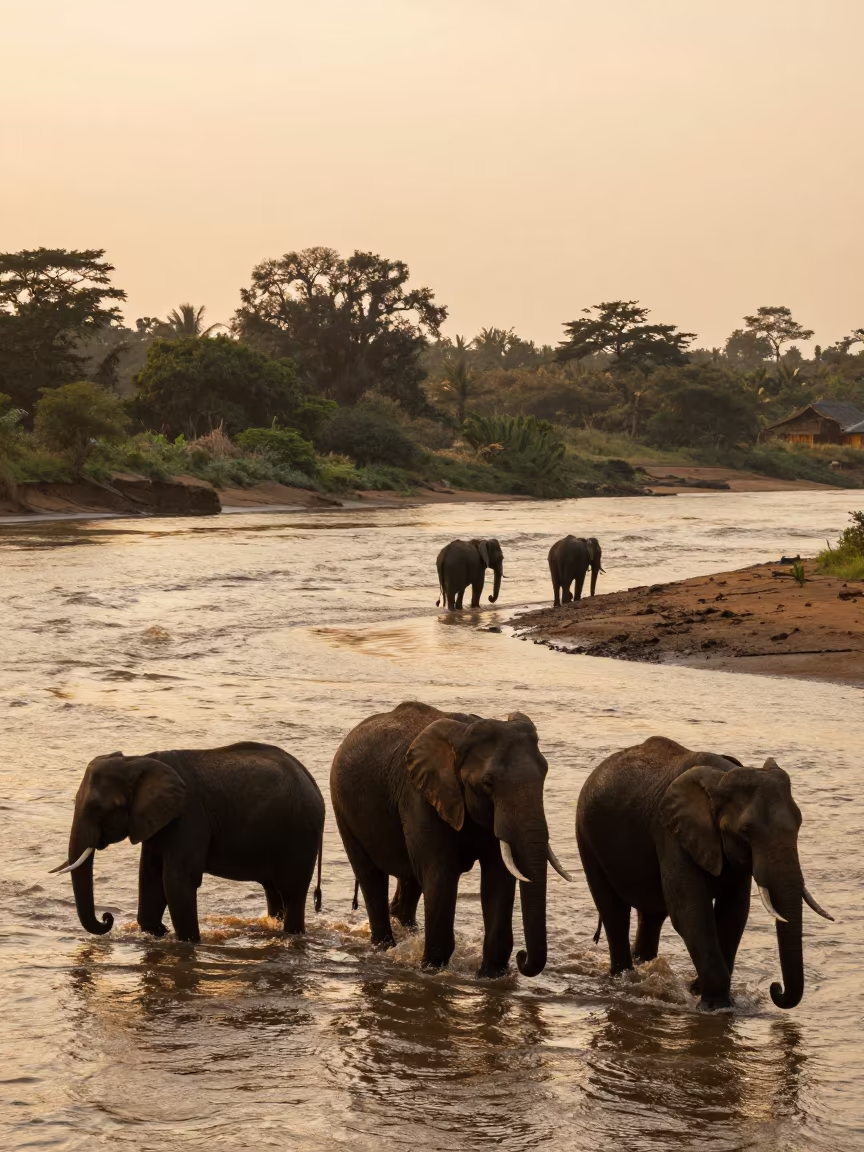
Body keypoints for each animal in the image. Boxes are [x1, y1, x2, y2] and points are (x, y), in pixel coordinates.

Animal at [50, 741, 325, 942]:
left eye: (101, 808)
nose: (107, 917)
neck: (139, 759)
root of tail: (313, 782)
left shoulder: (188, 817)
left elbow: (176, 880)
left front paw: (187, 941)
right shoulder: (156, 821)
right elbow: (150, 874)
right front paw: (157, 933)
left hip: (301, 837)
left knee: (292, 892)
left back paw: (291, 933)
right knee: (273, 890)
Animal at [330, 701, 571, 978]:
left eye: (545, 773)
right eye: (488, 783)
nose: (523, 957)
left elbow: (498, 877)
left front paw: (490, 976)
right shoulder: (420, 798)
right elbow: (440, 874)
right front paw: (432, 970)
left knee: (409, 878)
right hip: (343, 808)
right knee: (371, 876)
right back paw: (385, 948)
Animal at [576, 736, 832, 1010]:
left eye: (799, 824)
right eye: (746, 830)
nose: (775, 987)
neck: (720, 779)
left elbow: (734, 912)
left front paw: (700, 991)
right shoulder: (671, 833)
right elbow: (690, 912)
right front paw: (714, 1006)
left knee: (652, 915)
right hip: (586, 839)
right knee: (613, 911)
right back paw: (623, 977)